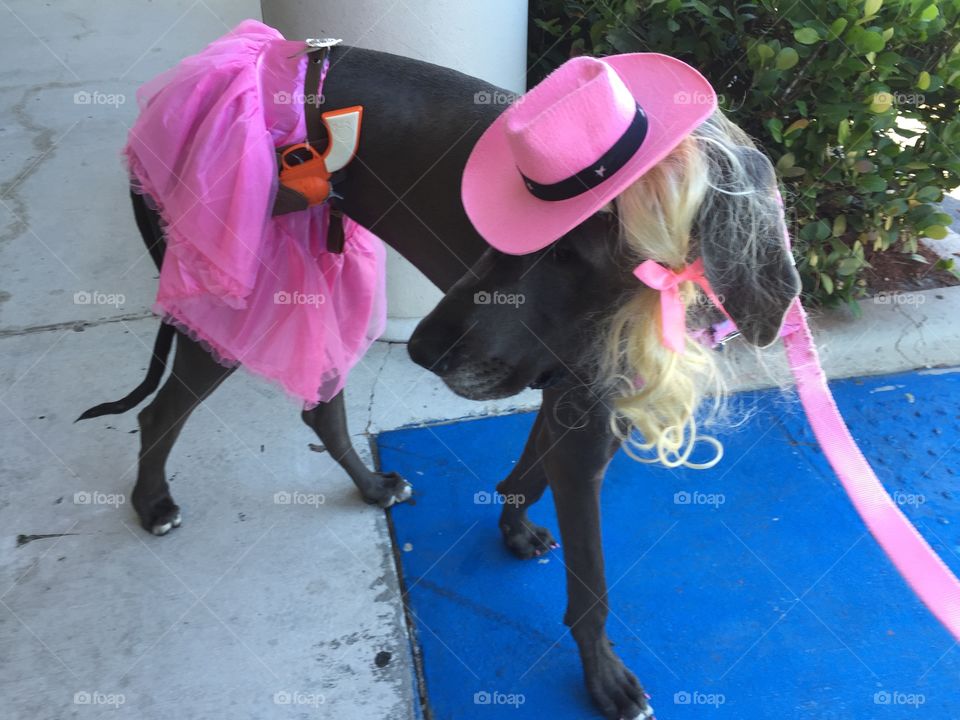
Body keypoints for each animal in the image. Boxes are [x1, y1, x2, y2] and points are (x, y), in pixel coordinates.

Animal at [82, 45, 796, 720]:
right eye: (497, 237)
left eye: (571, 254)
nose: (424, 352)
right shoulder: (579, 416)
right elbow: (590, 583)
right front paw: (605, 678)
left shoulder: (567, 396)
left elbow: (532, 471)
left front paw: (512, 524)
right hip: (237, 286)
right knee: (161, 412)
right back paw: (154, 502)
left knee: (320, 410)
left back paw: (373, 486)